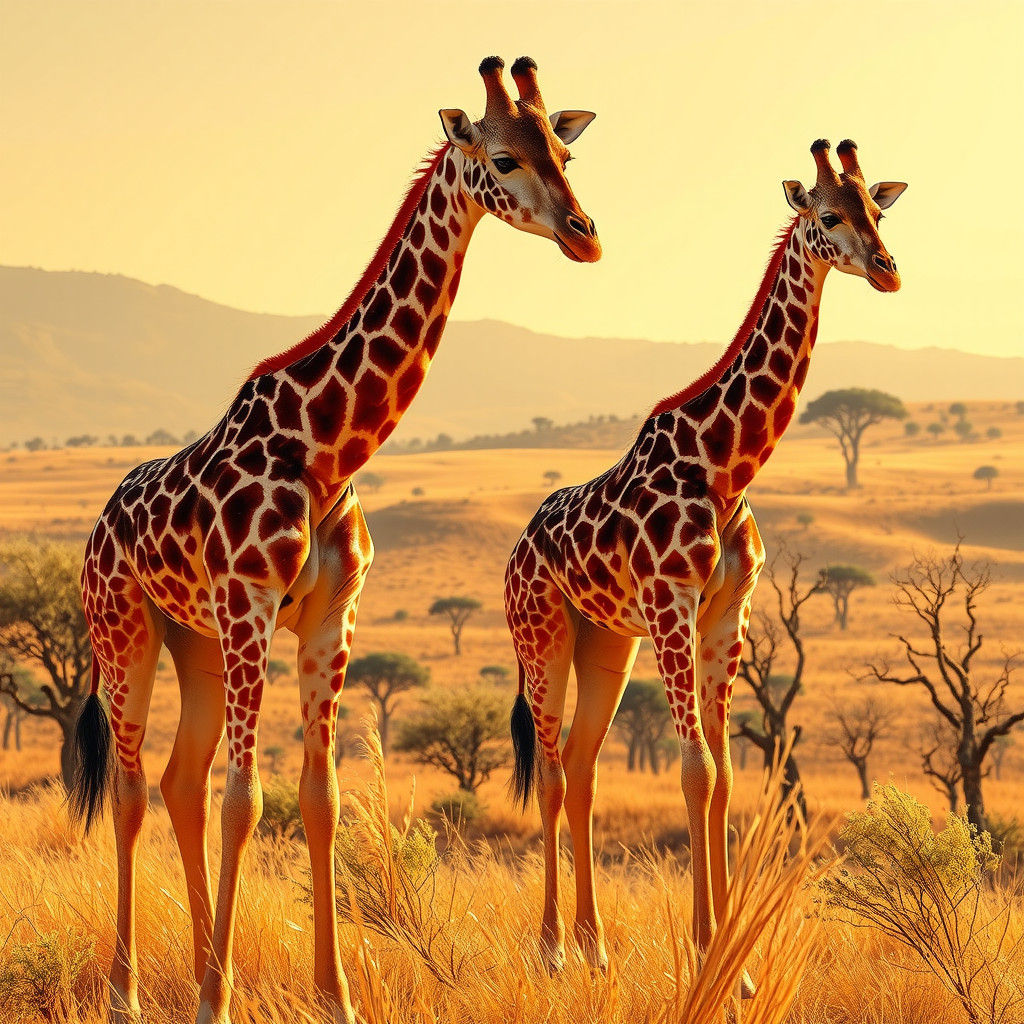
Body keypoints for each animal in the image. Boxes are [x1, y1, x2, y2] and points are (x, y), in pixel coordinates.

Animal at [70, 56, 600, 1024]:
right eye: (502, 159)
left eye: (564, 151)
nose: (585, 235)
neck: (327, 448)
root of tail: (96, 527)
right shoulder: (252, 606)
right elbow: (248, 800)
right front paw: (219, 1002)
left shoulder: (328, 619)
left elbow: (319, 799)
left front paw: (332, 993)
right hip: (125, 630)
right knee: (128, 791)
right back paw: (127, 990)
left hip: (196, 643)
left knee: (178, 782)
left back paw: (196, 962)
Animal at [504, 140, 906, 977]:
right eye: (829, 216)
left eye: (878, 212)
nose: (887, 268)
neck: (726, 464)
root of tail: (516, 552)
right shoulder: (672, 604)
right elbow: (695, 771)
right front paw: (702, 946)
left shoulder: (727, 616)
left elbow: (723, 780)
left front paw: (733, 962)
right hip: (542, 635)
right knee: (551, 773)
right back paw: (553, 950)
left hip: (606, 643)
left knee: (584, 766)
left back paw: (595, 949)